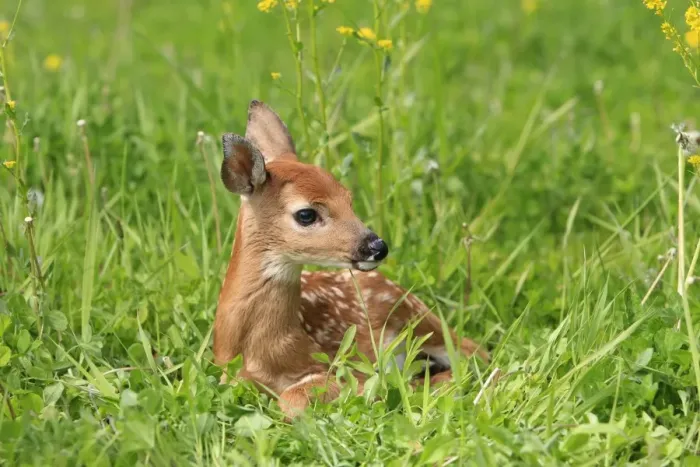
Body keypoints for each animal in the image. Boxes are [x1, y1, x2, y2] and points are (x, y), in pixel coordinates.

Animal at [213, 100, 488, 419]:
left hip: (418, 317)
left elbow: (293, 399)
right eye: (306, 214)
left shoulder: (338, 367)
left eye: (348, 199)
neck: (259, 349)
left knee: (478, 354)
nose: (377, 246)